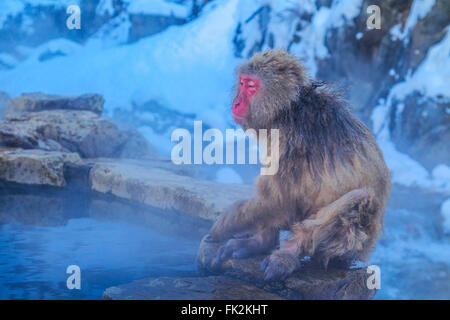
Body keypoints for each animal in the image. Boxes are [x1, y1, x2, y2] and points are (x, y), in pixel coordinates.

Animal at [208, 48, 390, 282]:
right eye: (242, 82)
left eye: (251, 86)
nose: (237, 103)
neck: (288, 110)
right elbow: (277, 201)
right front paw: (257, 240)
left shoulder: (292, 143)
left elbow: (279, 202)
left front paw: (222, 227)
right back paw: (262, 243)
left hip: (360, 242)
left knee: (359, 201)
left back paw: (287, 254)